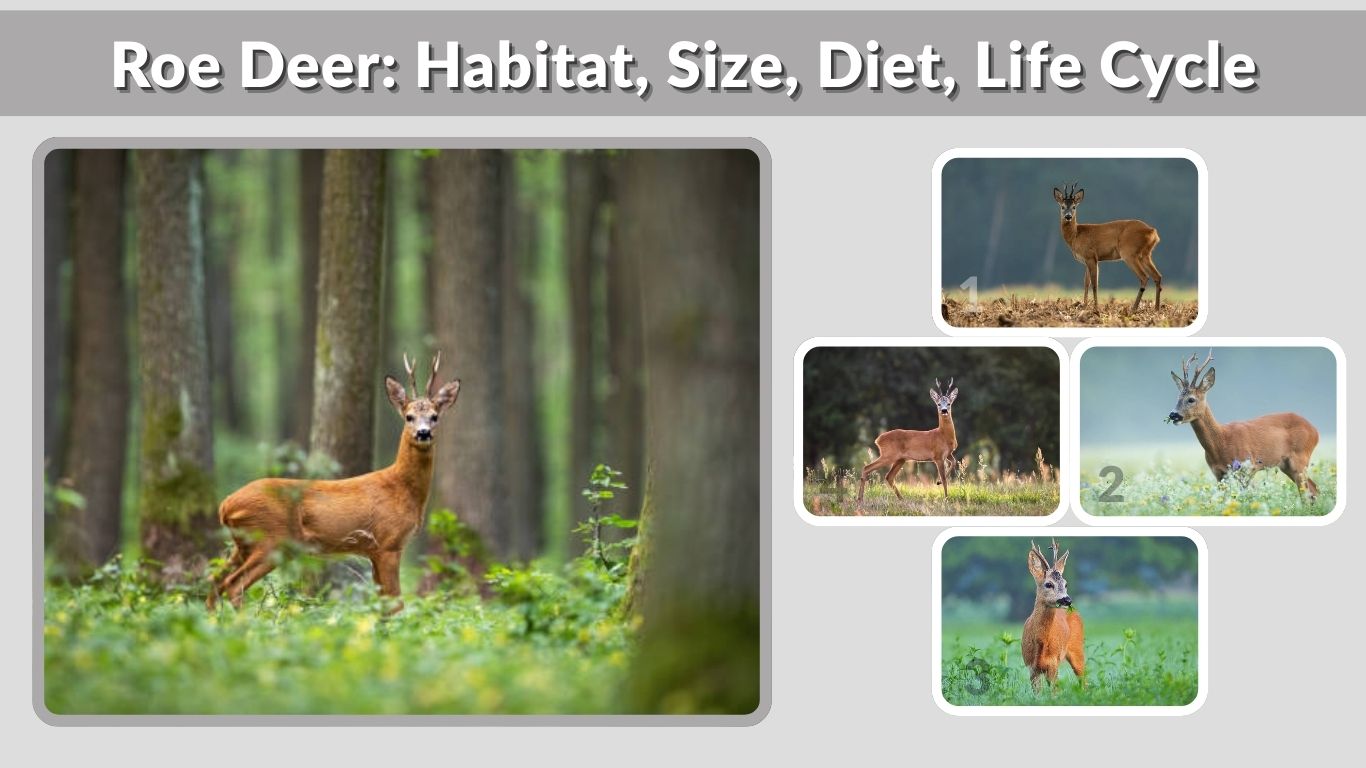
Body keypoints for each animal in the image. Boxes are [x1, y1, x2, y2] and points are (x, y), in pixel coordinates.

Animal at [207, 353, 461, 612]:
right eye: (409, 417)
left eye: (434, 417)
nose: (423, 433)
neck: (402, 488)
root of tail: (226, 505)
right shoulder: (388, 543)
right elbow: (396, 603)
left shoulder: (373, 550)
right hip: (270, 539)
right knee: (233, 584)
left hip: (243, 544)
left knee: (214, 580)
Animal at [856, 378, 958, 508]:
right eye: (938, 404)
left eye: (949, 404)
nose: (944, 411)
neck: (943, 435)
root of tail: (878, 439)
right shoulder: (938, 456)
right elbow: (945, 478)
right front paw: (946, 499)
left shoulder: (948, 453)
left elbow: (954, 462)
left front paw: (938, 482)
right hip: (888, 455)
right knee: (867, 468)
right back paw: (860, 499)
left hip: (900, 459)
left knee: (889, 476)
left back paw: (902, 499)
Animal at [1023, 539, 1085, 693]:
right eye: (1048, 584)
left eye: (1066, 583)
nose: (1067, 600)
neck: (1040, 643)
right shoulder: (1031, 667)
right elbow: (1037, 694)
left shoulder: (1053, 663)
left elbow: (1054, 693)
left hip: (1077, 649)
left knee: (1084, 678)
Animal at [1053, 182, 1163, 312]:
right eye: (1062, 206)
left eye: (1074, 206)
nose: (1068, 216)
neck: (1076, 235)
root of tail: (1152, 232)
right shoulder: (1087, 260)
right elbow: (1086, 283)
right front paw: (1084, 306)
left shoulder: (1091, 256)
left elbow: (1094, 284)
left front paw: (1095, 308)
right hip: (1145, 254)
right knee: (1157, 276)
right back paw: (1156, 308)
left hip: (1129, 252)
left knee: (1144, 277)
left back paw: (1134, 308)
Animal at [1167, 349, 1320, 501]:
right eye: (1178, 398)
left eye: (1191, 399)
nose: (1173, 414)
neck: (1221, 442)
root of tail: (1315, 430)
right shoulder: (1219, 474)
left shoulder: (1247, 467)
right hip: (1286, 465)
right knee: (1313, 489)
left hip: (1300, 458)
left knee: (1308, 492)